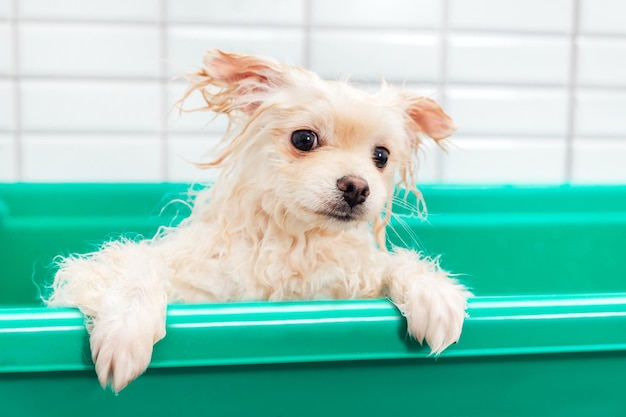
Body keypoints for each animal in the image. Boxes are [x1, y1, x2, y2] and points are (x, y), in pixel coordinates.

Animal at [46, 50, 470, 392]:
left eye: (381, 156)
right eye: (304, 139)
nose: (356, 187)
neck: (295, 243)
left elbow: (392, 264)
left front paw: (434, 294)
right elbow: (137, 262)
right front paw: (126, 327)